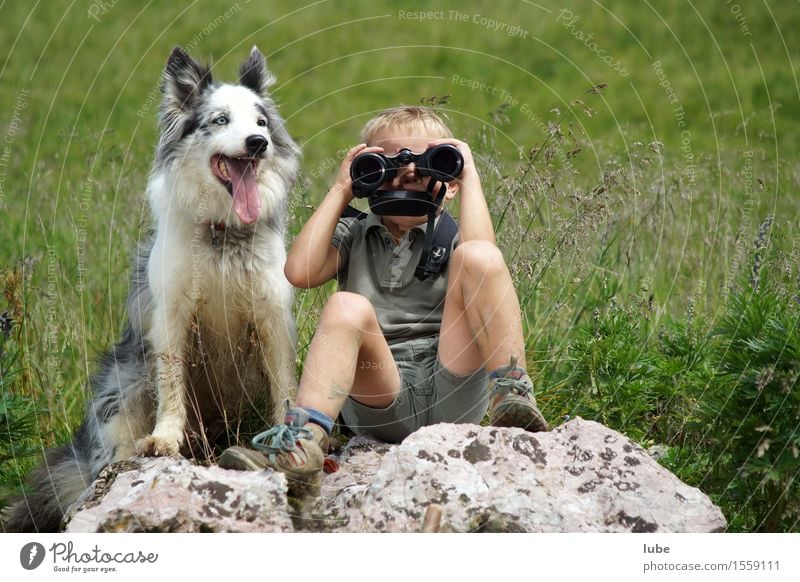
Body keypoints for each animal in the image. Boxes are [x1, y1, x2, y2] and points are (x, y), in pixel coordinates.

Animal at [5, 45, 300, 532]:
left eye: (260, 121)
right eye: (220, 120)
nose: (258, 143)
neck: (222, 235)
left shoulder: (272, 316)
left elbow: (285, 386)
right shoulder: (172, 317)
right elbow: (172, 384)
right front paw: (164, 439)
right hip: (122, 386)